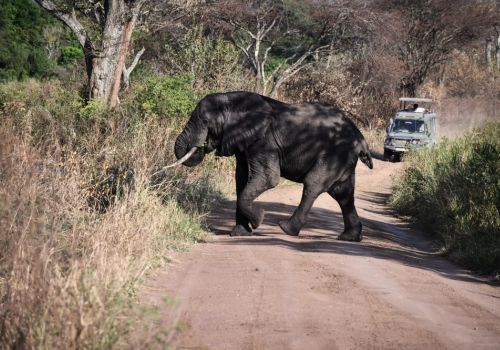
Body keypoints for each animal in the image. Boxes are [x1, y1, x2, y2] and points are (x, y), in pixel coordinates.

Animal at [170, 91, 374, 242]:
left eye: (205, 121)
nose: (201, 146)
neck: (232, 101)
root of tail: (361, 139)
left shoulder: (264, 141)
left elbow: (268, 179)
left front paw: (259, 219)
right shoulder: (245, 143)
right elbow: (241, 181)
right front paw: (239, 233)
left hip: (335, 153)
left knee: (313, 184)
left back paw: (286, 229)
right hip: (343, 158)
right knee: (343, 194)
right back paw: (349, 237)